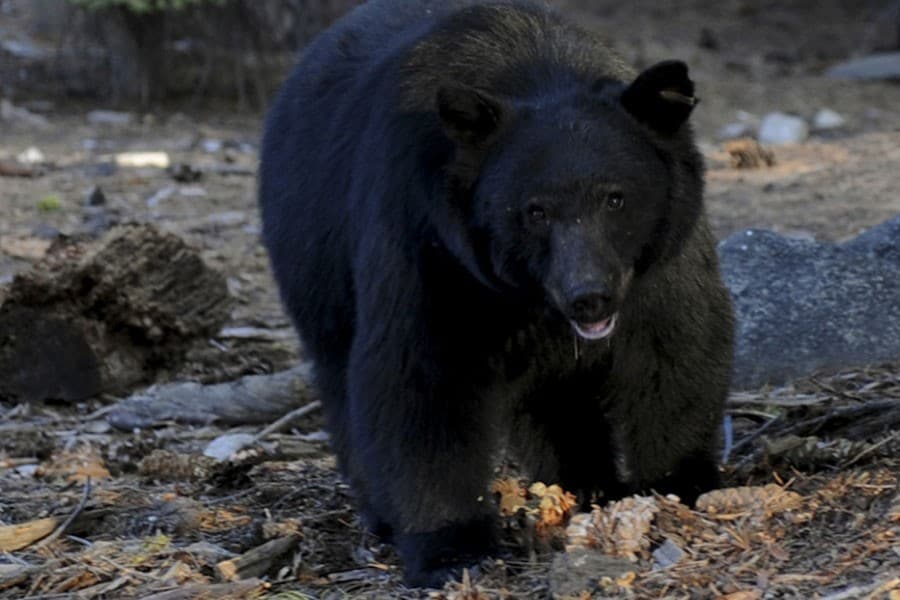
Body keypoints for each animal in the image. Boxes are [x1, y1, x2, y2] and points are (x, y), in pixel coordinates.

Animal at [259, 0, 735, 588]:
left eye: (616, 198)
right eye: (535, 210)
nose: (589, 297)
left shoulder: (660, 261)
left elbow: (676, 346)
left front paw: (680, 483)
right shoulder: (430, 243)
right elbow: (422, 378)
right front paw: (451, 547)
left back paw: (585, 482)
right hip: (314, 265)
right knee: (340, 379)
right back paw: (381, 513)